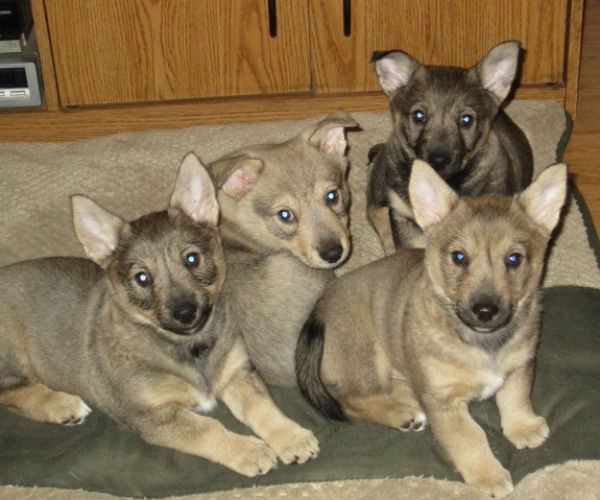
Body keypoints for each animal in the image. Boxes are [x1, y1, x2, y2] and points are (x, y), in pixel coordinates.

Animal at [0, 154, 318, 478]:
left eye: (192, 258)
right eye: (142, 278)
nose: (185, 313)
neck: (188, 347)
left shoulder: (237, 372)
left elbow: (261, 408)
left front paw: (291, 438)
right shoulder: (153, 416)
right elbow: (209, 429)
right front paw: (250, 451)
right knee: (11, 394)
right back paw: (63, 404)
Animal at [296, 159, 568, 496]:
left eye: (514, 259)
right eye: (459, 257)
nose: (485, 311)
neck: (482, 344)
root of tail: (321, 304)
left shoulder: (521, 365)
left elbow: (515, 397)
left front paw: (523, 427)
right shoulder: (444, 402)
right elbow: (470, 438)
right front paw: (488, 476)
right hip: (367, 355)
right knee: (352, 399)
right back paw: (401, 414)